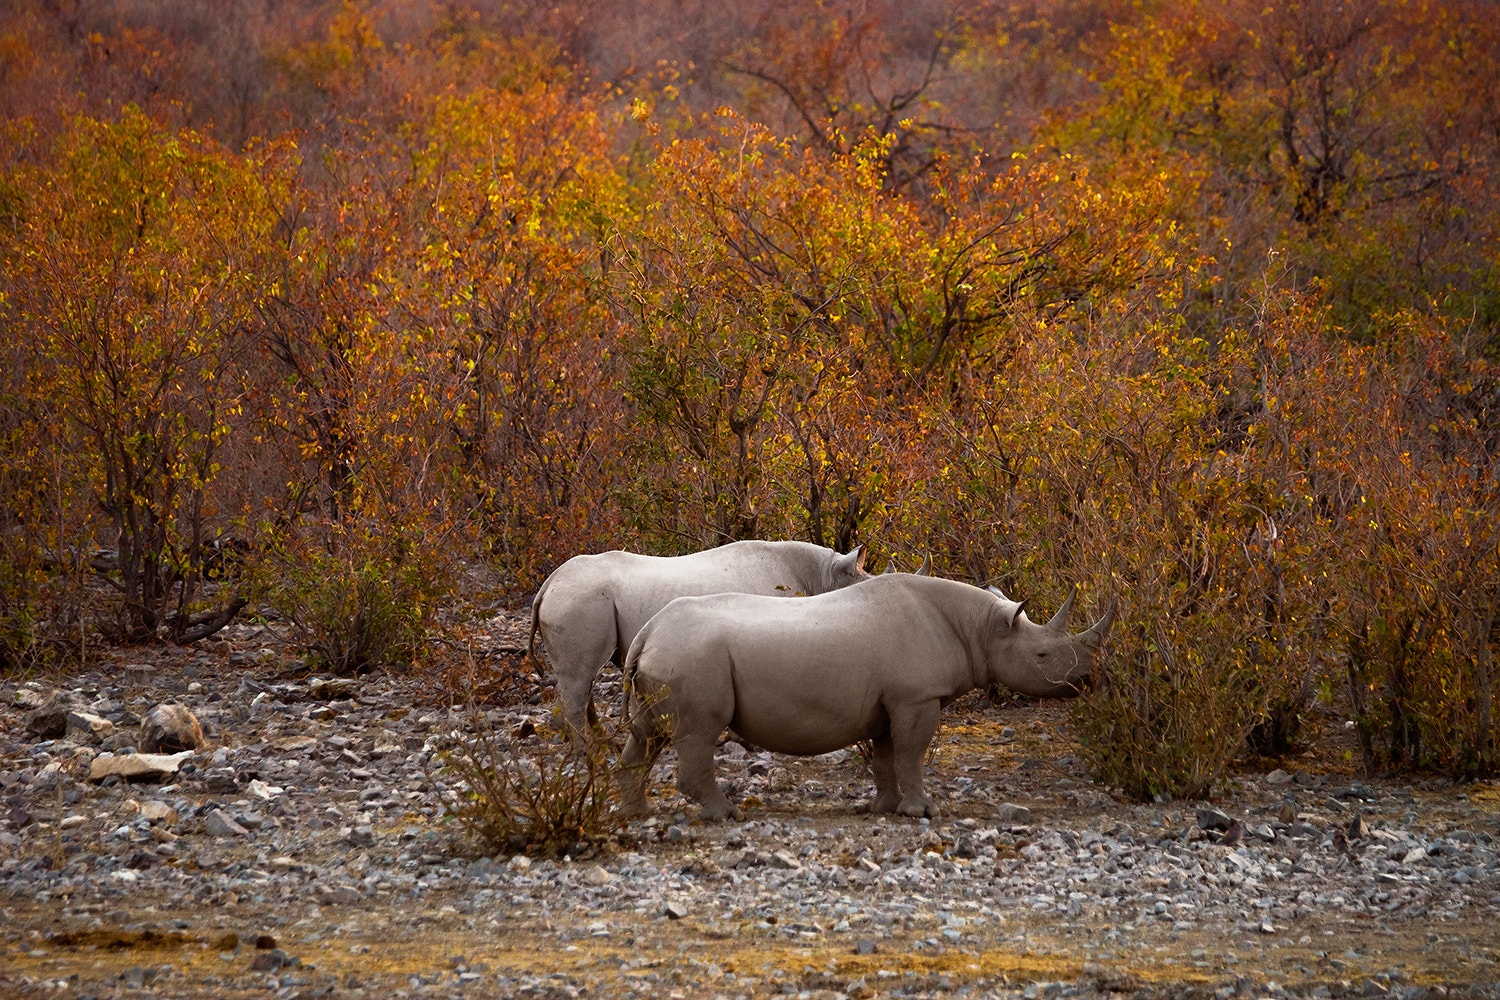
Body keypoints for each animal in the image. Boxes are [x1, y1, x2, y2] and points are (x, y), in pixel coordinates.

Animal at [615, 578, 1122, 821]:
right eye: (1042, 655)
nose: (1088, 680)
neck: (979, 626)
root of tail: (648, 633)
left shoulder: (892, 702)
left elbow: (886, 756)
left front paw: (885, 808)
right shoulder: (917, 697)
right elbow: (912, 753)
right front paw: (923, 812)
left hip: (668, 656)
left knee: (646, 735)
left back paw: (636, 812)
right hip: (693, 659)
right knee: (696, 732)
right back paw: (726, 815)